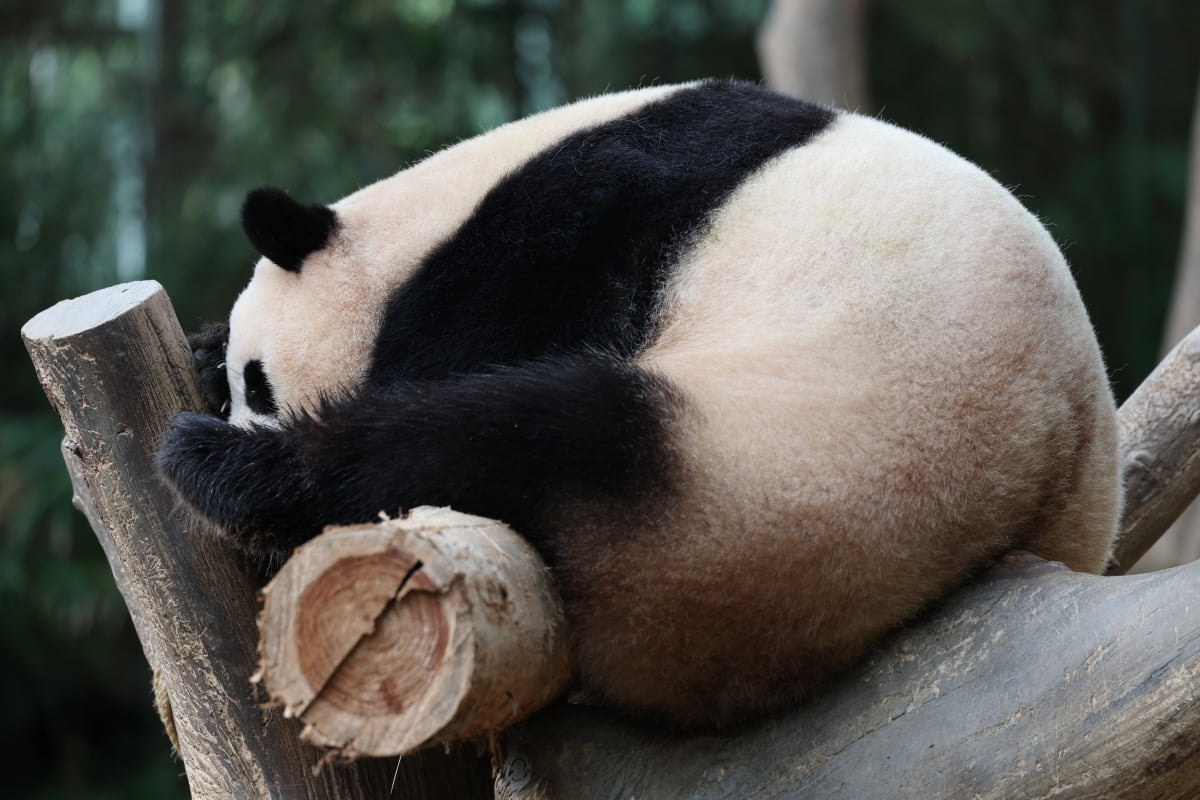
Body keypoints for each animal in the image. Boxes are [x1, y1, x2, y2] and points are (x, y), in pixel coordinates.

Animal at [154, 77, 1118, 729]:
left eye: (259, 383)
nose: (236, 409)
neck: (427, 222)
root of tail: (1026, 507)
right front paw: (195, 347)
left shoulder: (568, 228)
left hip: (786, 466)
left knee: (505, 437)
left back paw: (224, 471)